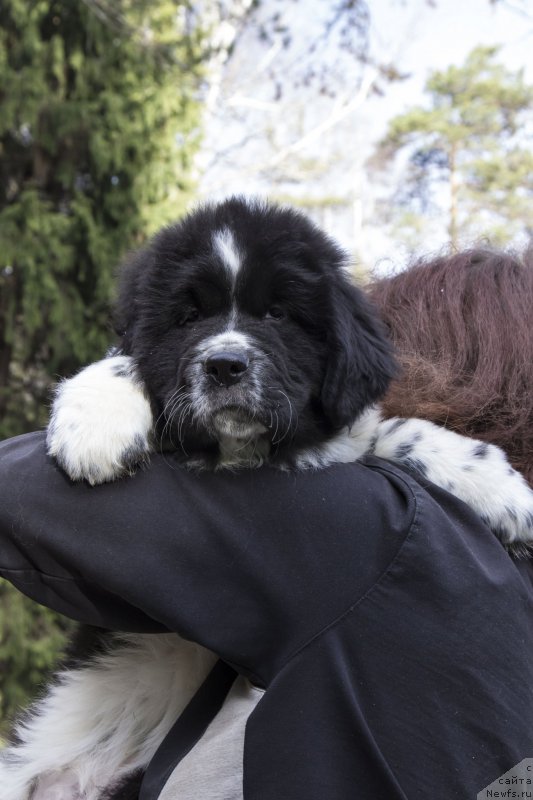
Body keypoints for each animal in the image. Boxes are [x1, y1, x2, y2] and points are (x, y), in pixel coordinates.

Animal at [4, 195, 532, 800]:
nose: (225, 365)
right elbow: (124, 359)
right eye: (187, 318)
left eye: (278, 314)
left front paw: (498, 488)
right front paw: (97, 422)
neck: (240, 455)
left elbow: (392, 432)